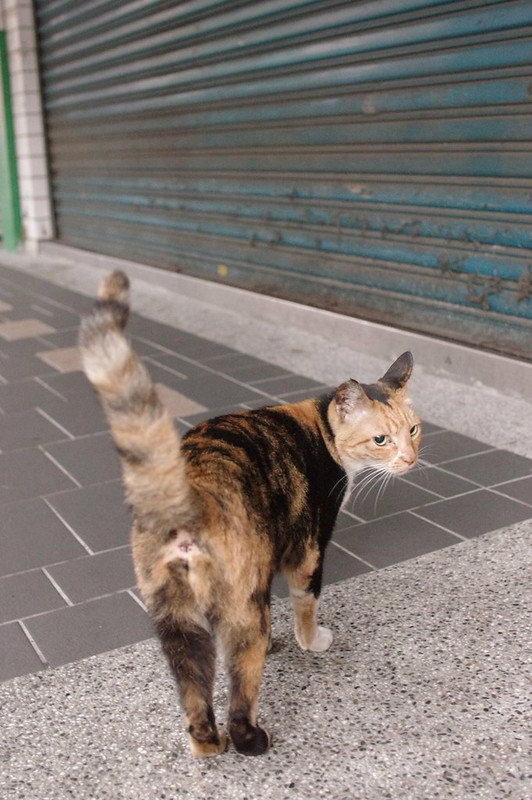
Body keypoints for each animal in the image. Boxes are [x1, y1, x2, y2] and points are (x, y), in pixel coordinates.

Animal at [79, 270, 421, 758]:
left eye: (413, 430)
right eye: (380, 440)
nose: (411, 459)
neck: (322, 430)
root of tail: (187, 496)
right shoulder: (306, 550)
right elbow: (305, 605)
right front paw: (312, 642)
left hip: (176, 621)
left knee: (195, 692)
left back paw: (208, 744)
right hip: (242, 606)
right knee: (241, 691)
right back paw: (253, 739)